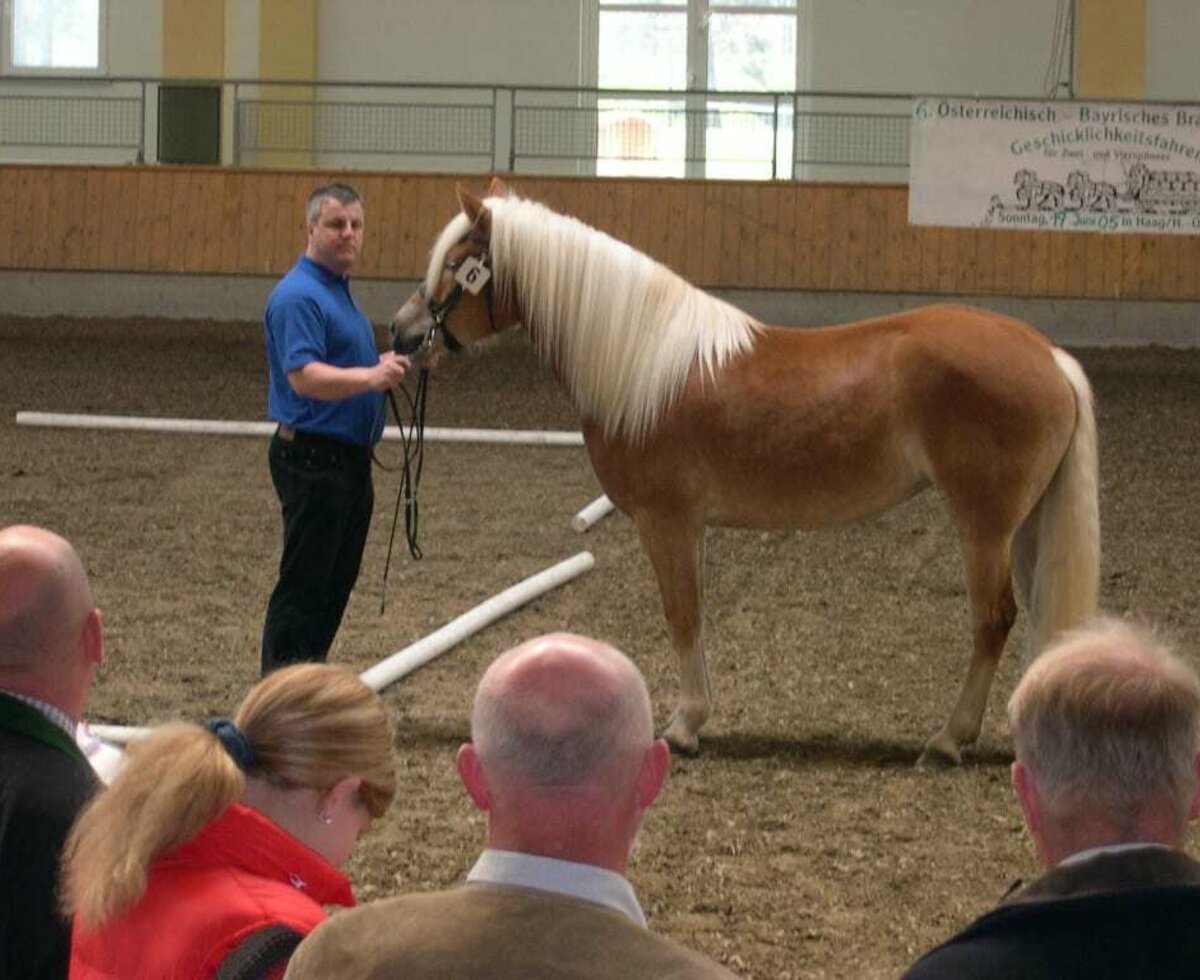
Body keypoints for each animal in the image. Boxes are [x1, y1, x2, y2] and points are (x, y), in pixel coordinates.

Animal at [393, 181, 1099, 762]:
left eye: (457, 265)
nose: (401, 334)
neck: (645, 363)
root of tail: (1047, 355)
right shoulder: (691, 526)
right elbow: (696, 612)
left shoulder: (667, 521)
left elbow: (681, 614)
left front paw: (683, 726)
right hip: (1025, 524)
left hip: (984, 526)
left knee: (995, 618)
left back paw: (950, 738)